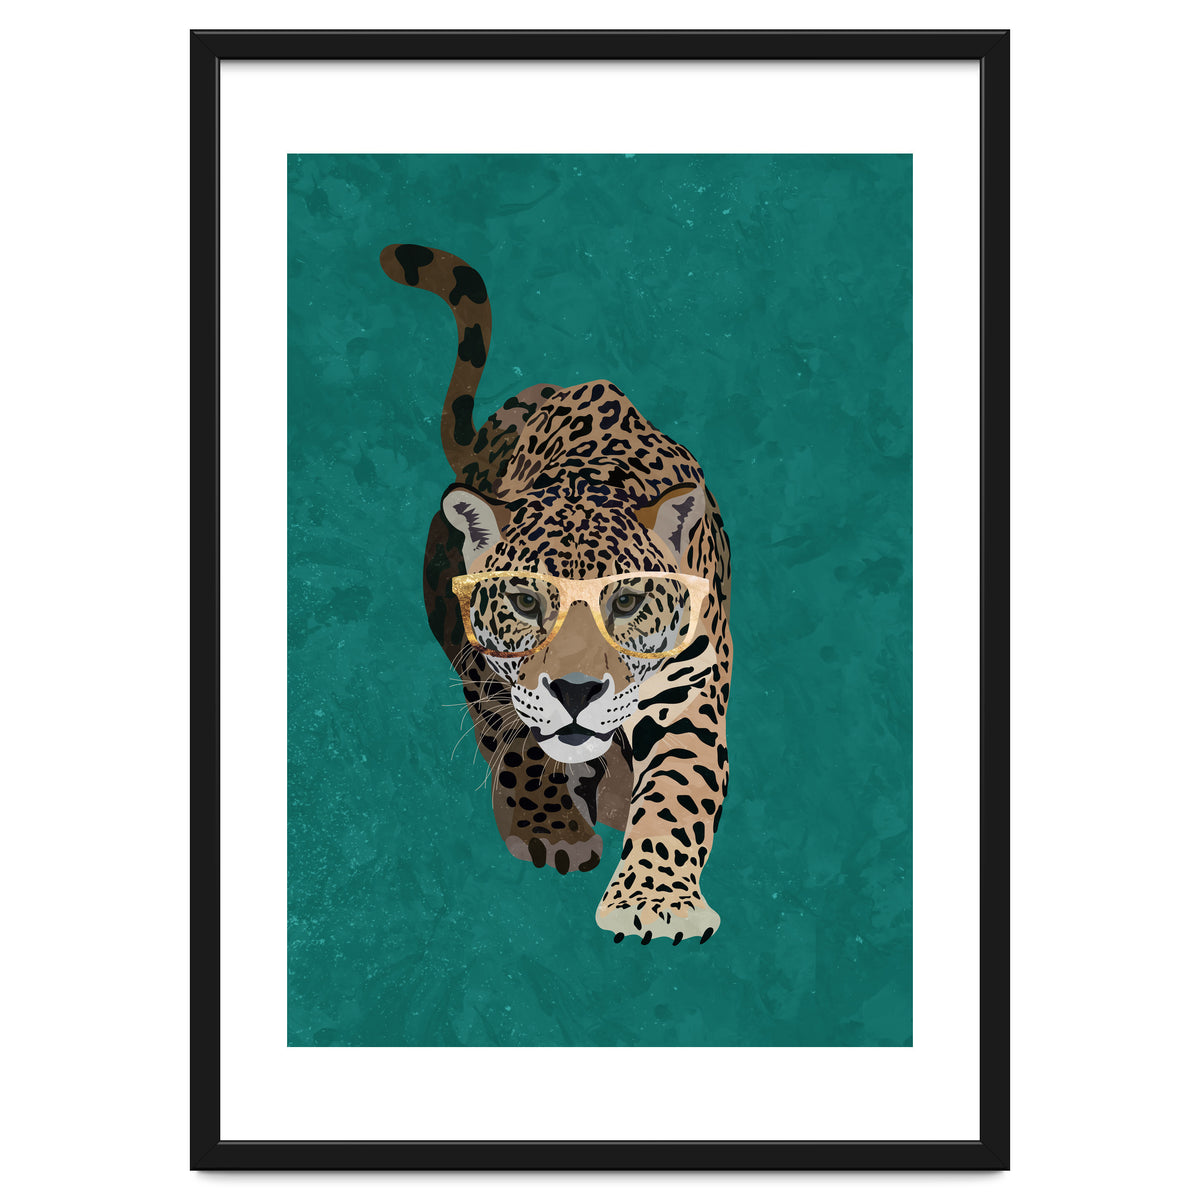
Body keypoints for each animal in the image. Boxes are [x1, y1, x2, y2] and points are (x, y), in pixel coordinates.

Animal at [381, 243, 732, 944]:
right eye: (524, 602)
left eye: (625, 602)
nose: (575, 692)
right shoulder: (488, 667)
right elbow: (518, 741)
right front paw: (551, 829)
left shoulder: (690, 688)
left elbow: (678, 790)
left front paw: (655, 902)